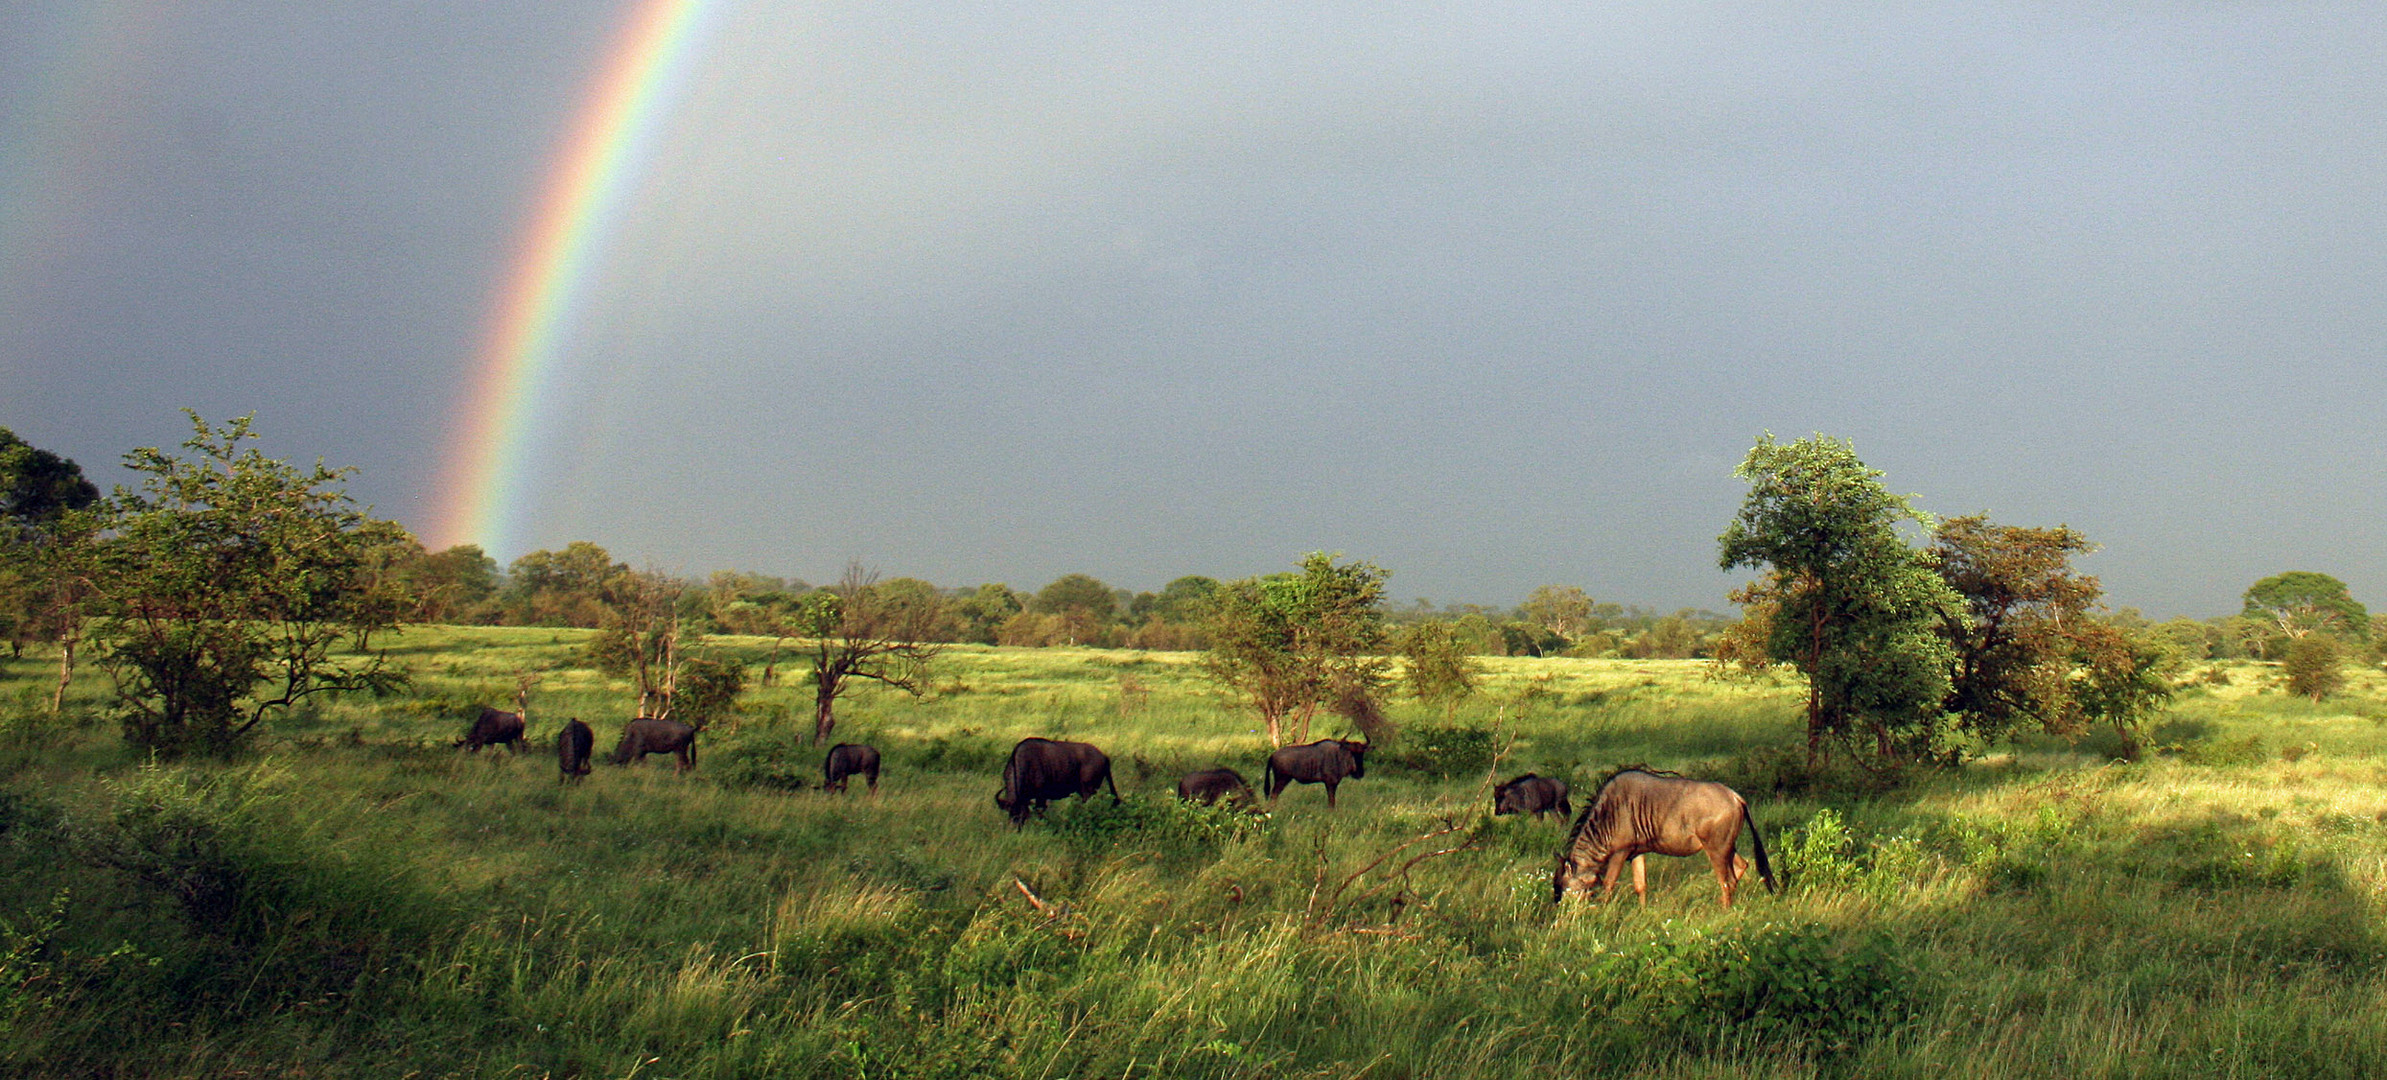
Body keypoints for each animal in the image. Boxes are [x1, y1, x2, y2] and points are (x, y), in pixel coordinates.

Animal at [988, 735, 1117, 831]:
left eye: (1023, 816)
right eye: (1010, 815)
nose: (1015, 830)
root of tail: (1103, 756)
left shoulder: (1041, 798)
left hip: (1088, 791)